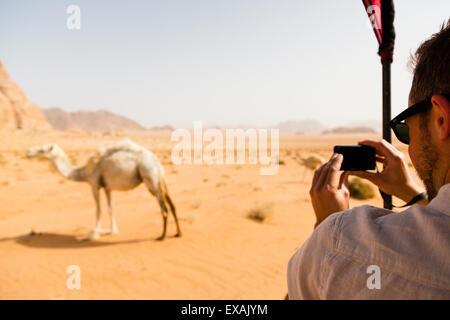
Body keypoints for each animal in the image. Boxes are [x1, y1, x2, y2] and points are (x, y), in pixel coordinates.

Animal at [25, 139, 181, 241]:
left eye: (42, 149)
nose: (28, 152)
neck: (83, 172)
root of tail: (156, 161)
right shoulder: (107, 188)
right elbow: (110, 208)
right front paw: (113, 231)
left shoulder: (94, 185)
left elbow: (98, 209)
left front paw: (94, 234)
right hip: (161, 179)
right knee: (172, 204)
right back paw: (178, 233)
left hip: (150, 178)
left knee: (164, 208)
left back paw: (162, 236)